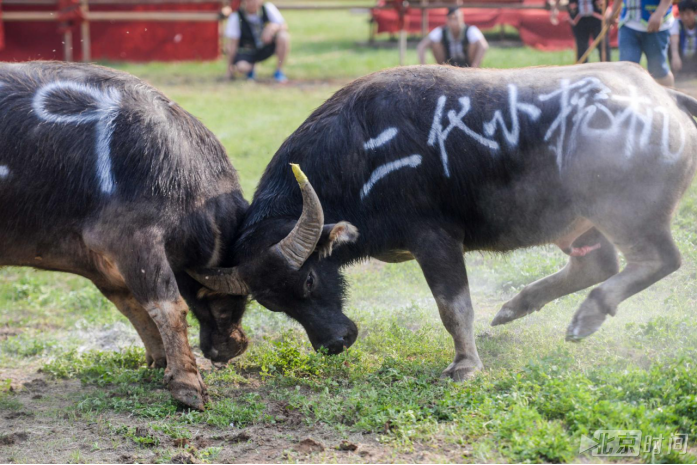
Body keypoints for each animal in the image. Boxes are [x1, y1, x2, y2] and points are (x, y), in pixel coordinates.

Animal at [0, 60, 250, 406]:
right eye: (231, 299)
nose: (234, 345)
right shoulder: (133, 239)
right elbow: (167, 306)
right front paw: (187, 385)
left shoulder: (100, 263)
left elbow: (130, 303)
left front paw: (161, 362)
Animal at [193, 61, 696, 378]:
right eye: (272, 304)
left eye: (310, 280)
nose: (334, 342)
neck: (361, 155)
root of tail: (664, 98)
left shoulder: (433, 239)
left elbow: (453, 306)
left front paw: (465, 366)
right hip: (576, 221)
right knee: (598, 263)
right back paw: (517, 307)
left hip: (626, 213)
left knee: (659, 260)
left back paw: (588, 314)